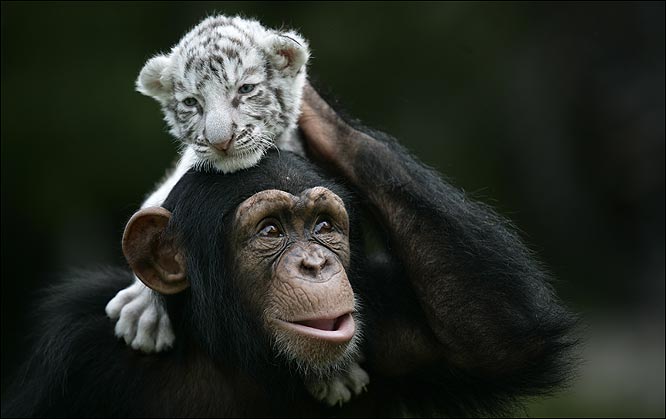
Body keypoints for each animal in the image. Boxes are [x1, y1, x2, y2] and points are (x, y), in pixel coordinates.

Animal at [0, 84, 572, 416]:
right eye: (271, 231)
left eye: (322, 225)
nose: (315, 263)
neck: (237, 356)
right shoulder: (79, 355)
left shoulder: (388, 317)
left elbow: (496, 341)